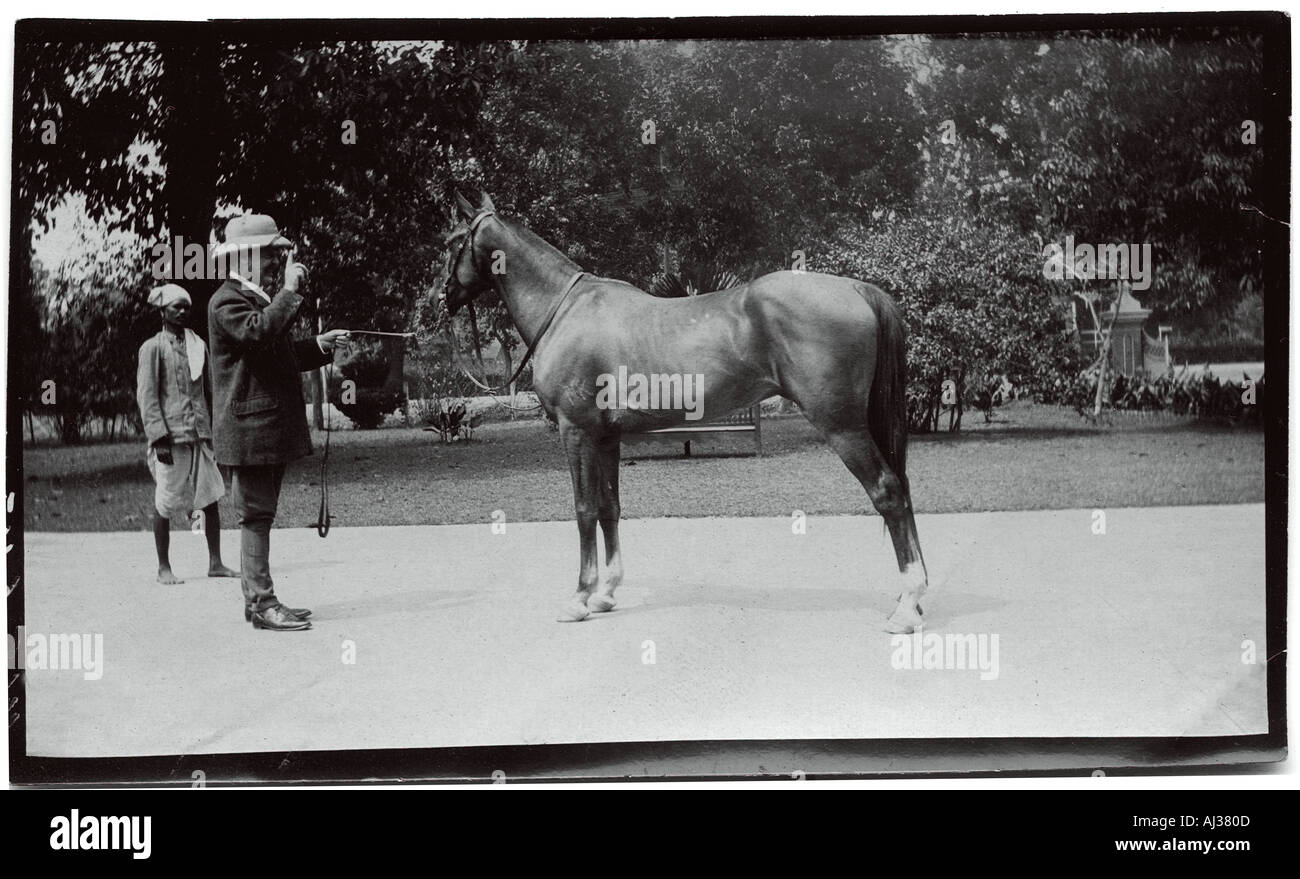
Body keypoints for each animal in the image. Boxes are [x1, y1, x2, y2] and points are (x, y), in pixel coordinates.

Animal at [441, 191, 930, 631]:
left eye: (452, 240)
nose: (441, 296)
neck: (565, 310)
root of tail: (856, 287)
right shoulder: (606, 436)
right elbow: (609, 507)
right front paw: (606, 594)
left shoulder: (575, 431)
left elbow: (583, 509)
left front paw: (579, 599)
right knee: (902, 489)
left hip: (843, 425)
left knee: (888, 491)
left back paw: (907, 607)